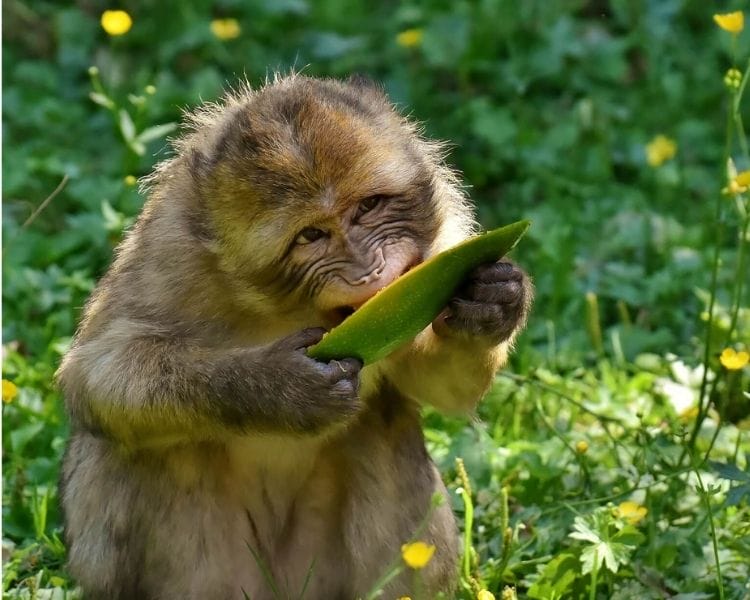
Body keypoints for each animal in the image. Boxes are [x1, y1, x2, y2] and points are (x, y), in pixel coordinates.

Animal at [56, 73, 532, 600]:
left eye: (368, 207)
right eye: (311, 236)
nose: (368, 271)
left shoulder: (444, 238)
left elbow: (439, 388)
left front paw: (492, 305)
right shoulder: (169, 250)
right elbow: (97, 373)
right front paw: (277, 389)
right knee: (138, 445)